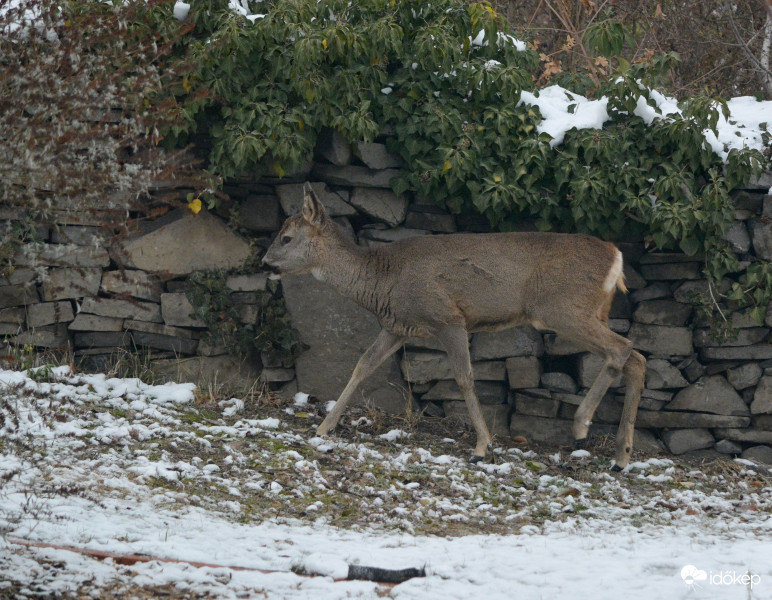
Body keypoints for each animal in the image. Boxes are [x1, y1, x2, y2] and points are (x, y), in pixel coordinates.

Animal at [262, 183, 648, 468]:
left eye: (286, 238)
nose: (265, 263)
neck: (382, 281)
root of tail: (617, 256)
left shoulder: (447, 318)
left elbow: (464, 377)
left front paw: (481, 446)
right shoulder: (397, 326)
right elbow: (363, 365)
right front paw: (324, 427)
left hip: (563, 309)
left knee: (622, 349)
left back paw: (582, 424)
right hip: (590, 312)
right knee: (636, 358)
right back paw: (621, 457)